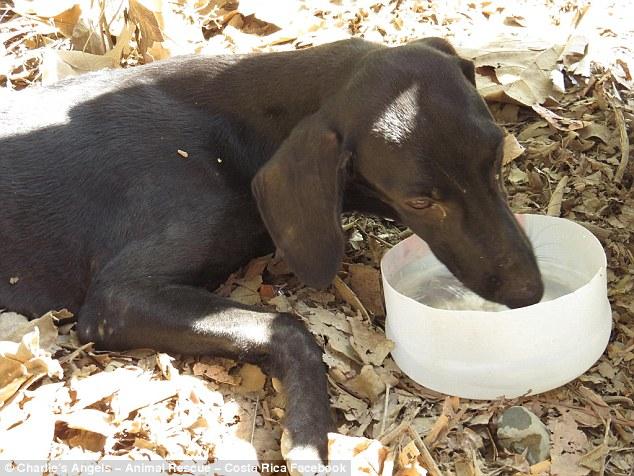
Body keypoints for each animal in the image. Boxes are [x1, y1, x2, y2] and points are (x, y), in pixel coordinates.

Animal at [1, 38, 544, 464]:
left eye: (497, 158)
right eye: (421, 202)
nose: (530, 293)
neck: (235, 129)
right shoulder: (116, 299)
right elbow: (289, 328)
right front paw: (308, 434)